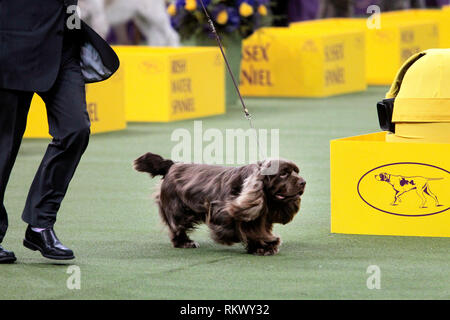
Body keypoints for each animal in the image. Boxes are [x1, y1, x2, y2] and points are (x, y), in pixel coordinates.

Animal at [134, 152, 306, 255]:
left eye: (296, 171)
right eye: (283, 174)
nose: (303, 182)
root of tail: (172, 165)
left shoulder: (259, 216)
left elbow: (256, 230)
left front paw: (263, 246)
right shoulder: (223, 210)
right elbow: (242, 229)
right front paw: (264, 245)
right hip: (178, 208)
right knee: (177, 227)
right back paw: (185, 243)